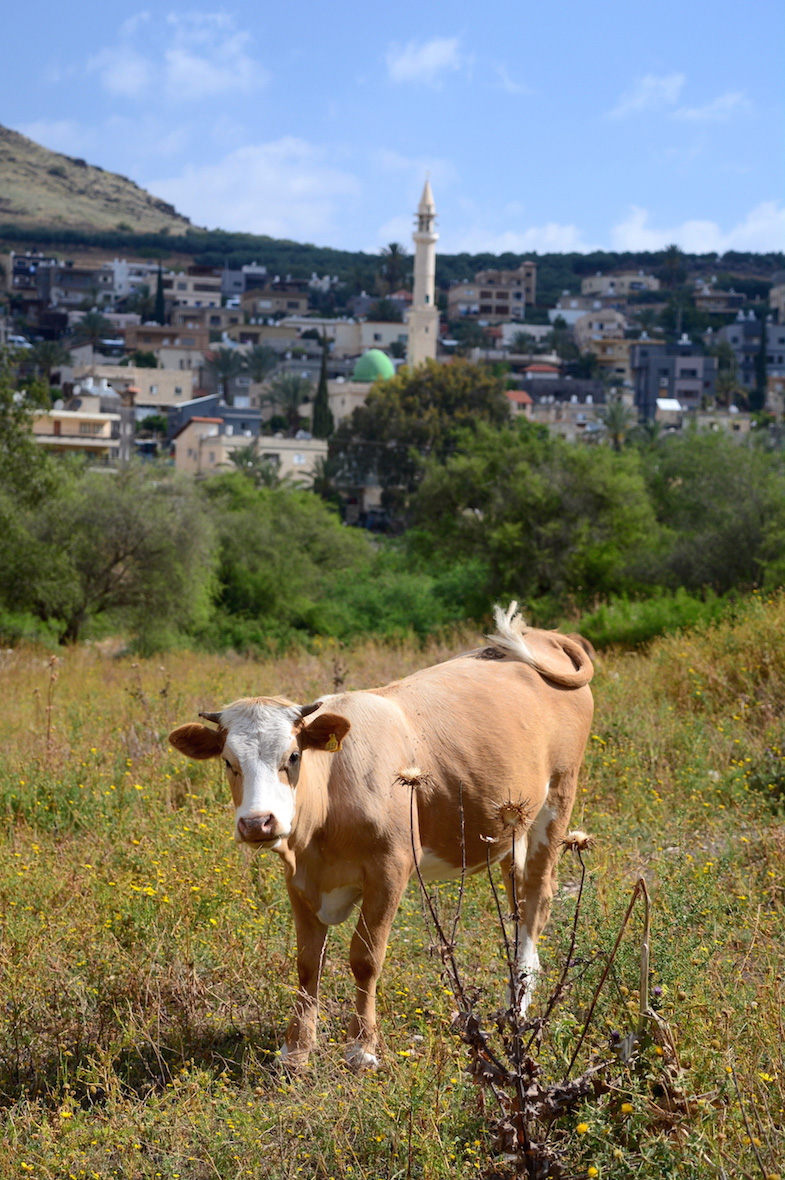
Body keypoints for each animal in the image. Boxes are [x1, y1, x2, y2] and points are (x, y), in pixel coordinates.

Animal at [168, 604, 590, 1076]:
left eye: (293, 756)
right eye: (228, 762)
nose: (258, 823)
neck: (329, 796)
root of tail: (544, 636)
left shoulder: (390, 869)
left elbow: (365, 958)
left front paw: (361, 1047)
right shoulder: (298, 878)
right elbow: (307, 962)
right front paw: (296, 1049)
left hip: (557, 801)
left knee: (536, 899)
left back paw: (520, 1005)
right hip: (511, 826)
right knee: (516, 901)